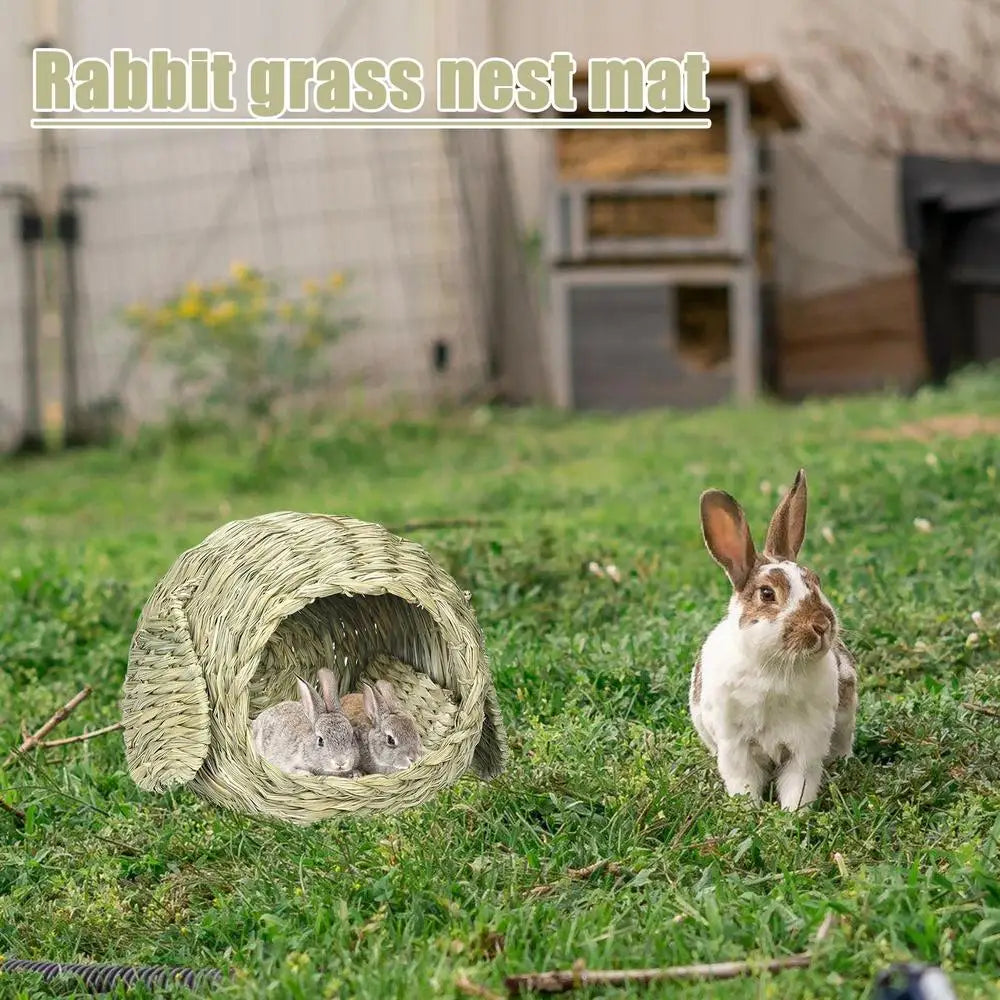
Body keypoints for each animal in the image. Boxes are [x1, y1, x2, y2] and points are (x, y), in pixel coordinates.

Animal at [690, 468, 858, 811]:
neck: (776, 666)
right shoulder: (735, 746)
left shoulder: (806, 745)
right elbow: (743, 782)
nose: (822, 625)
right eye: (767, 594)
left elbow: (799, 784)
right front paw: (749, 811)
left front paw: (794, 815)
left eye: (816, 581)